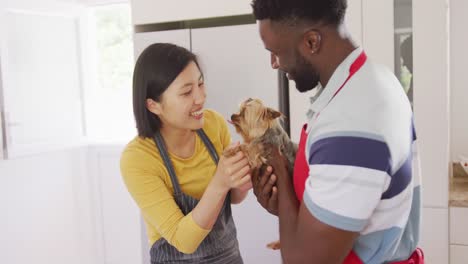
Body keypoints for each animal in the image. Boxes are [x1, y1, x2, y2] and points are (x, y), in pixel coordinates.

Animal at [223, 98, 296, 250]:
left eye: (244, 114)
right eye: (239, 110)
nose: (232, 115)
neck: (265, 132)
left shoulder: (257, 152)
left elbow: (245, 147)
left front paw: (229, 151)